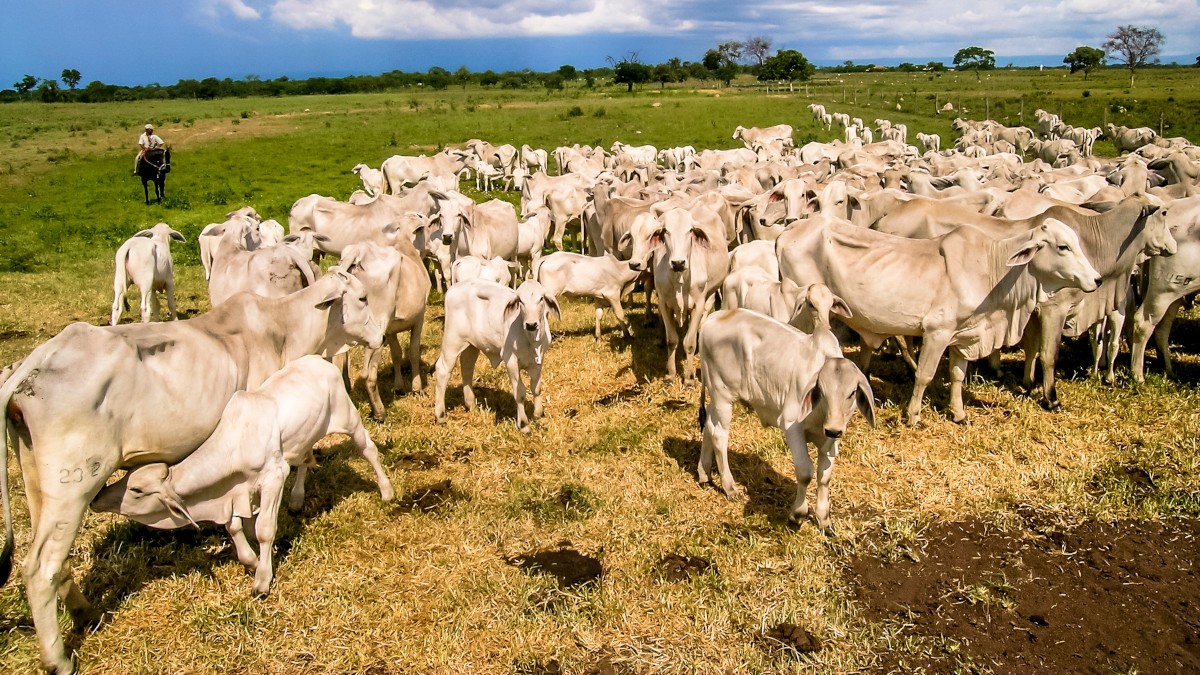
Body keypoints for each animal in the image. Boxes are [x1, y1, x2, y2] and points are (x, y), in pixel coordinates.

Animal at [94, 353, 393, 593]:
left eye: (136, 490)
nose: (97, 497)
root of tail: (319, 361)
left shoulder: (273, 476)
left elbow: (263, 529)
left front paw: (262, 579)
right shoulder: (239, 492)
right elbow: (234, 526)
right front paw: (251, 561)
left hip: (347, 418)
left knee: (367, 448)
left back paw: (386, 491)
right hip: (303, 436)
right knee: (306, 459)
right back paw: (297, 499)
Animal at [434, 277, 559, 429]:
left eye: (541, 298)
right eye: (520, 301)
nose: (531, 324)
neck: (530, 338)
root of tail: (453, 289)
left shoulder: (539, 360)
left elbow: (536, 388)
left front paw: (538, 413)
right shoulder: (510, 361)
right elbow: (520, 392)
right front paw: (523, 424)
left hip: (471, 345)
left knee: (467, 367)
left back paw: (471, 405)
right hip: (452, 341)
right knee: (442, 370)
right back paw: (440, 416)